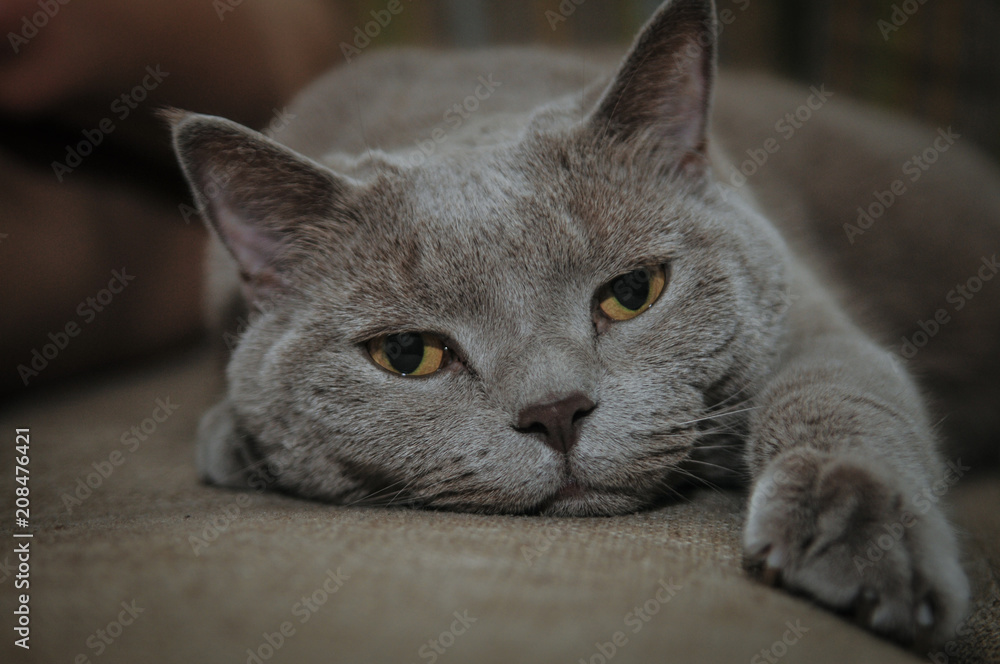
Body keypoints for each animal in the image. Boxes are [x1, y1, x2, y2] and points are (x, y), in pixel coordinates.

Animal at [168, 0, 996, 652]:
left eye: (632, 292)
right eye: (407, 354)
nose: (556, 411)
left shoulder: (810, 317)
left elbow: (840, 388)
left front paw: (857, 534)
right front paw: (238, 439)